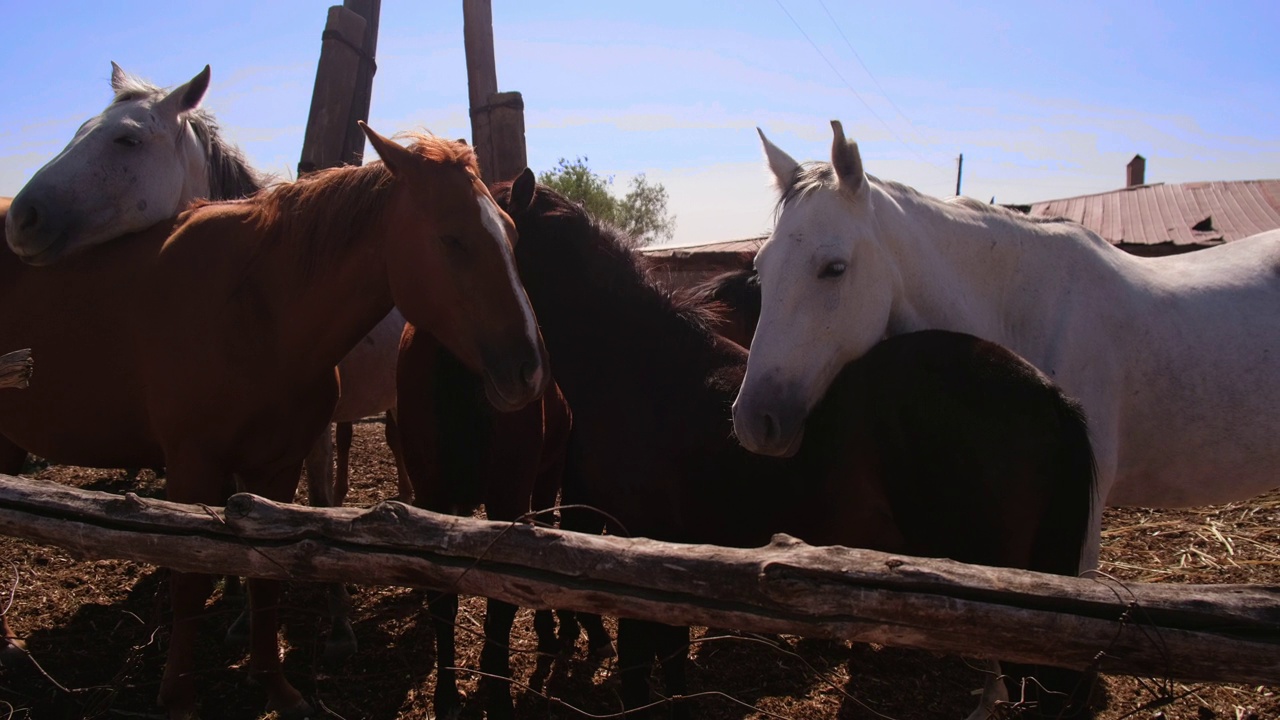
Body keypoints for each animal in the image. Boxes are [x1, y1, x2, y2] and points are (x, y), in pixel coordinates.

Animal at [0, 126, 545, 712]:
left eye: (513, 234)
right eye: (452, 239)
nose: (529, 368)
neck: (257, 307)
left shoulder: (277, 468)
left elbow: (265, 574)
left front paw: (274, 684)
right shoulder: (193, 468)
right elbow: (190, 577)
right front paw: (180, 696)